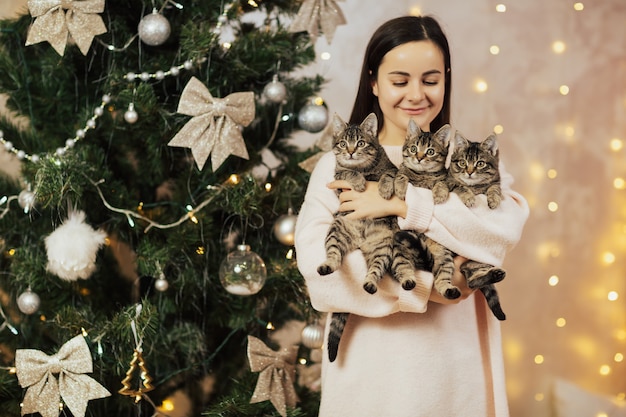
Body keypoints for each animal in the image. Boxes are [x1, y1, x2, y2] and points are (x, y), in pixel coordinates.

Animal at [320, 112, 398, 360]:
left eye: (361, 143)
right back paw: (327, 265)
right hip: (337, 229)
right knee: (334, 255)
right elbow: (348, 171)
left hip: (384, 246)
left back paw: (370, 283)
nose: (351, 151)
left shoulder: (394, 169)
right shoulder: (337, 179)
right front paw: (359, 182)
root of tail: (360, 242)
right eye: (343, 143)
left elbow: (388, 176)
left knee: (375, 269)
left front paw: (383, 189)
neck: (365, 169)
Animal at [392, 122, 504, 320]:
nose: (469, 172)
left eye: (480, 163)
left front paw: (493, 199)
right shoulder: (452, 182)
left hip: (470, 259)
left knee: (471, 280)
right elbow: (404, 175)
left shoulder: (494, 182)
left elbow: (493, 187)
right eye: (463, 163)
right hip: (416, 250)